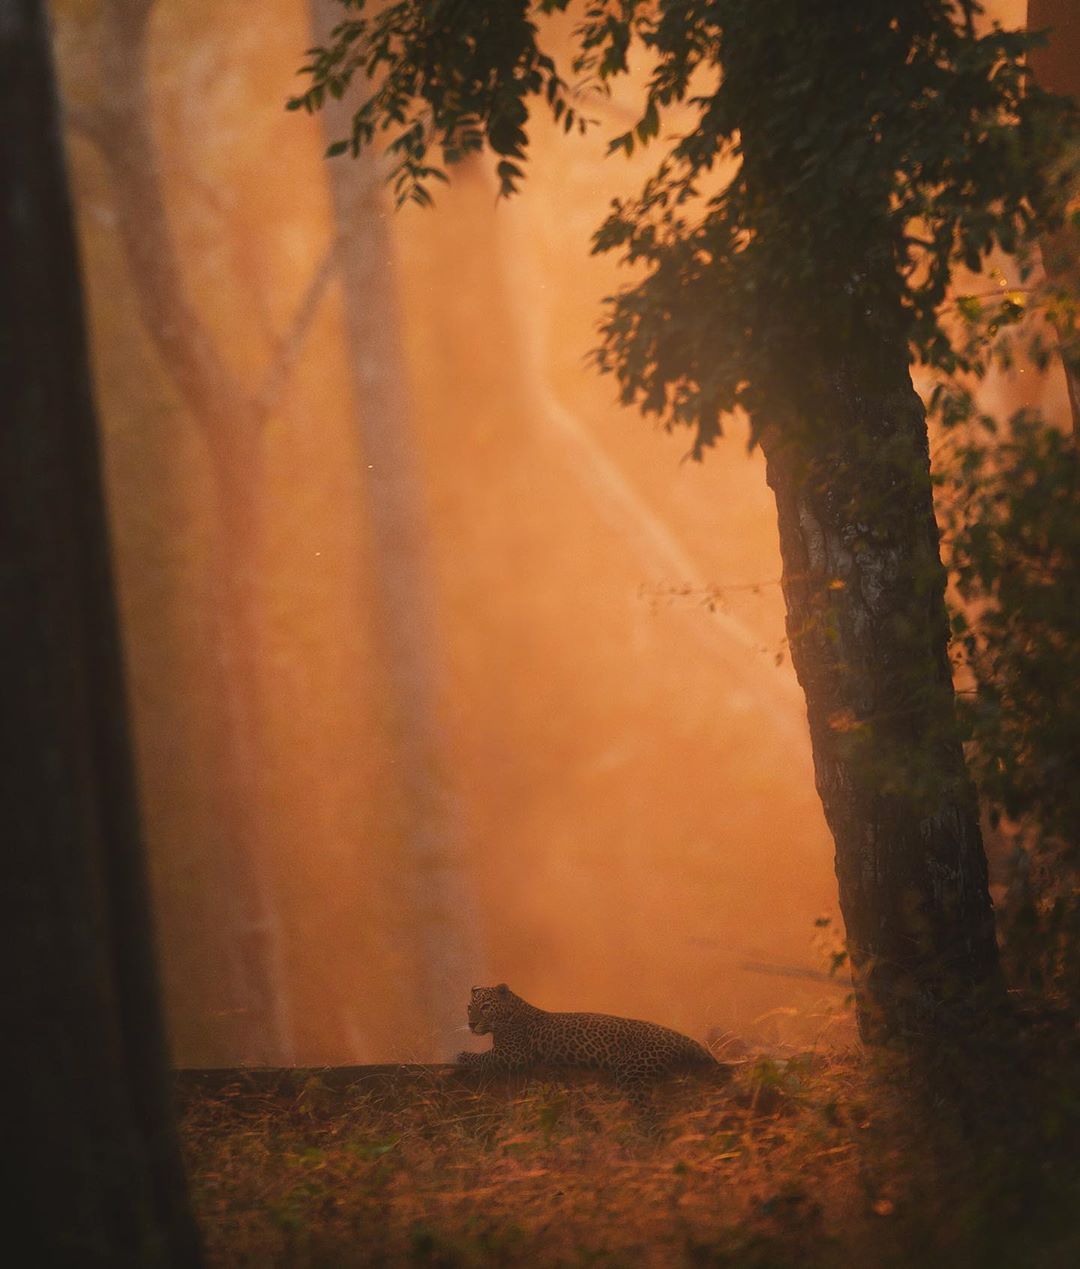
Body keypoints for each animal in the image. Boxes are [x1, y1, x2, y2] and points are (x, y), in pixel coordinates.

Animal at [456, 979, 725, 1091]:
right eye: (469, 1007)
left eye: (485, 1007)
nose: (471, 1023)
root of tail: (679, 1036)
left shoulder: (512, 1055)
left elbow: (481, 1057)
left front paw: (461, 1055)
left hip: (633, 1067)